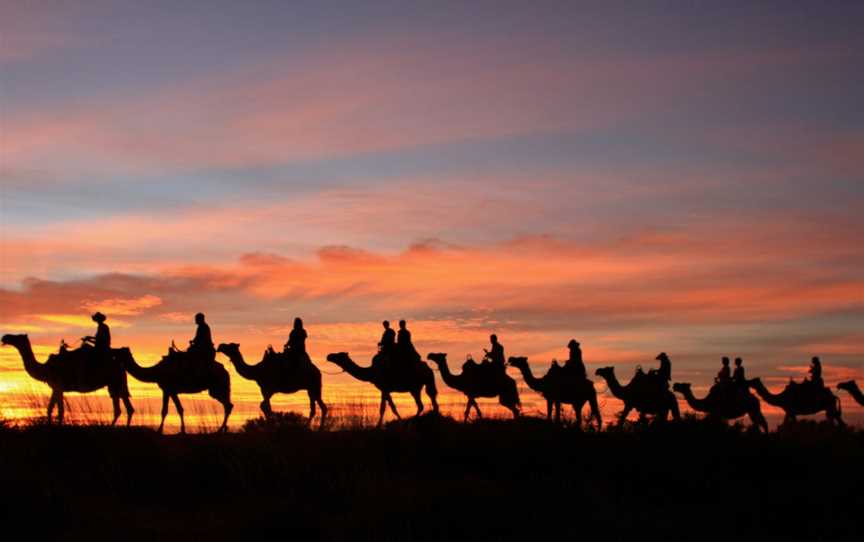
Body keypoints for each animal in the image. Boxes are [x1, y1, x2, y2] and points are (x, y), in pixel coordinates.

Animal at [1, 334, 133, 428]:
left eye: (17, 337)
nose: (5, 337)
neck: (46, 369)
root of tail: (120, 365)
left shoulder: (58, 386)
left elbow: (60, 411)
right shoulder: (55, 388)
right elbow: (50, 409)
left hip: (116, 382)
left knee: (124, 408)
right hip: (115, 384)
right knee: (123, 408)